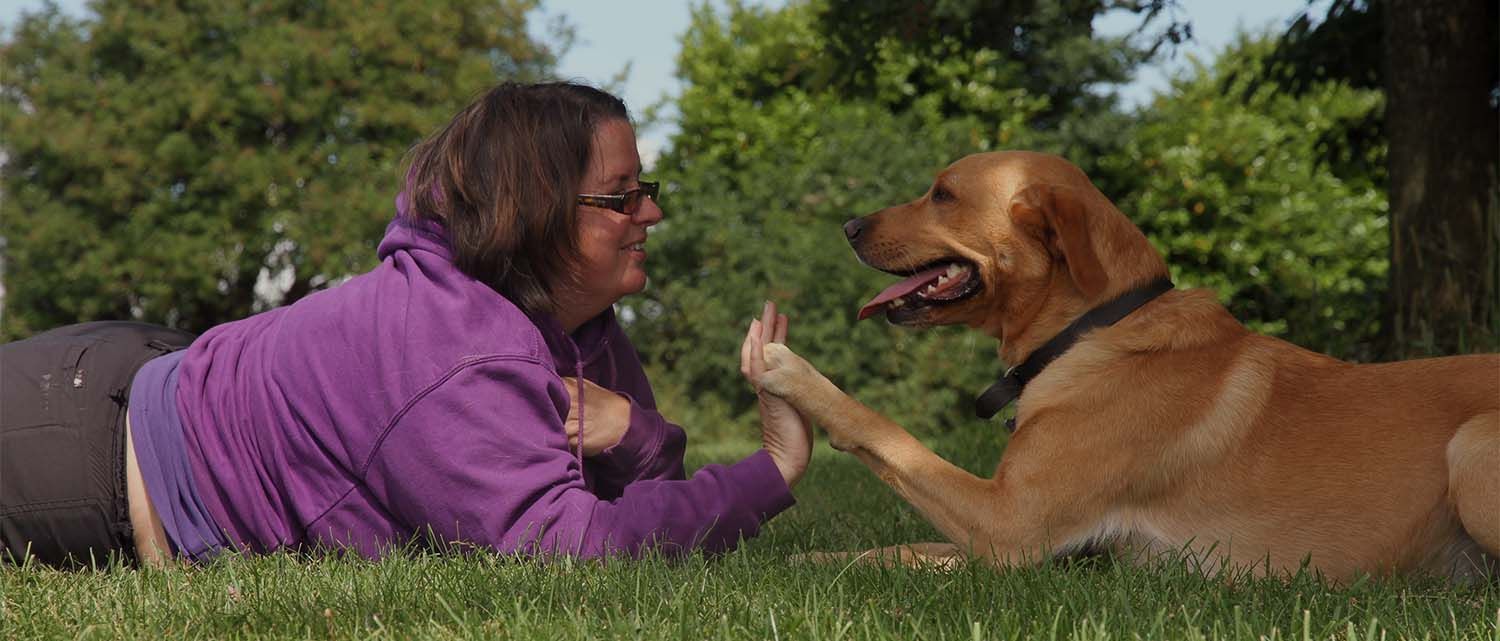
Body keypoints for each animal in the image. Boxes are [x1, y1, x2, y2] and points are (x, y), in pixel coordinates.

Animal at [762, 150, 1500, 582]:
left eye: (942, 194)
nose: (849, 225)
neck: (1091, 331)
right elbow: (892, 550)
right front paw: (804, 559)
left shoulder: (1008, 525)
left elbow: (889, 436)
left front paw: (789, 370)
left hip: (1471, 450)